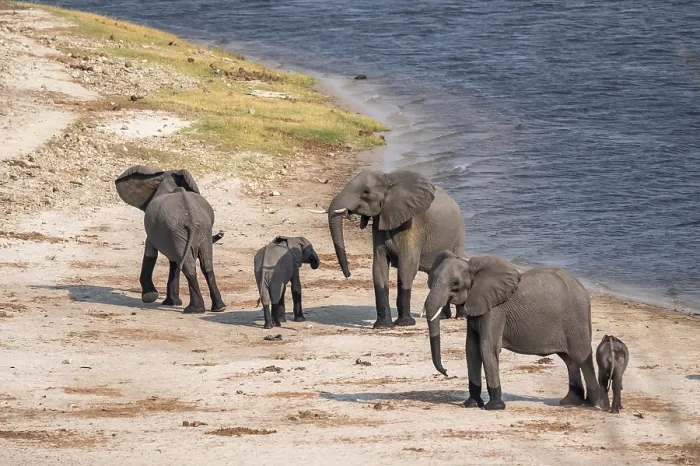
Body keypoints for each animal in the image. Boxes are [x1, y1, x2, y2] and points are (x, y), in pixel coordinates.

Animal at [115, 165, 226, 314]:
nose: (221, 233)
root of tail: (190, 218)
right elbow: (173, 260)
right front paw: (171, 302)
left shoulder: (157, 229)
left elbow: (151, 252)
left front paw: (150, 297)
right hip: (200, 230)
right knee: (206, 265)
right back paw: (218, 308)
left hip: (181, 230)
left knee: (189, 266)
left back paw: (194, 309)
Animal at [317, 169, 466, 329]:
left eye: (366, 191)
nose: (348, 274)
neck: (387, 179)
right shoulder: (379, 222)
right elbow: (379, 267)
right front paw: (382, 326)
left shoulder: (412, 225)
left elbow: (406, 267)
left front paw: (405, 324)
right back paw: (444, 316)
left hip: (458, 236)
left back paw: (460, 316)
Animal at [423, 251, 601, 410]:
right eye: (432, 279)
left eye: (455, 283)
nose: (446, 372)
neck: (473, 268)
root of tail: (582, 289)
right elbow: (471, 349)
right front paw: (471, 404)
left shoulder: (495, 310)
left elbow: (486, 349)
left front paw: (494, 407)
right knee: (569, 360)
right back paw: (570, 402)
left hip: (576, 318)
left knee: (581, 355)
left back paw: (594, 404)